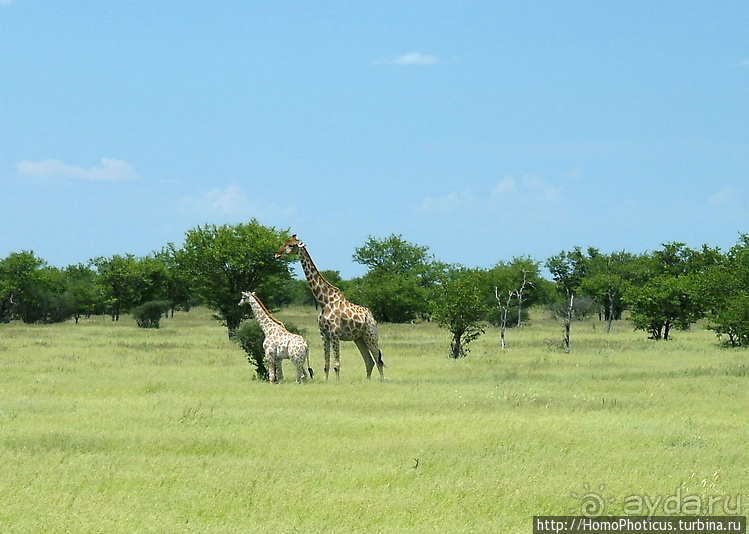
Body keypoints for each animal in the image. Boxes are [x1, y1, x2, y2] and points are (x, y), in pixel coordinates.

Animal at [274, 236, 386, 382]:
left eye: (291, 245)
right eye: (285, 242)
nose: (277, 254)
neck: (324, 301)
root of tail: (372, 318)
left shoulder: (334, 333)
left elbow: (336, 364)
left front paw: (337, 382)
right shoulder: (323, 334)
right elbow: (326, 363)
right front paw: (326, 381)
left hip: (370, 335)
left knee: (378, 360)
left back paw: (382, 380)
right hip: (359, 338)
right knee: (369, 361)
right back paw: (368, 381)